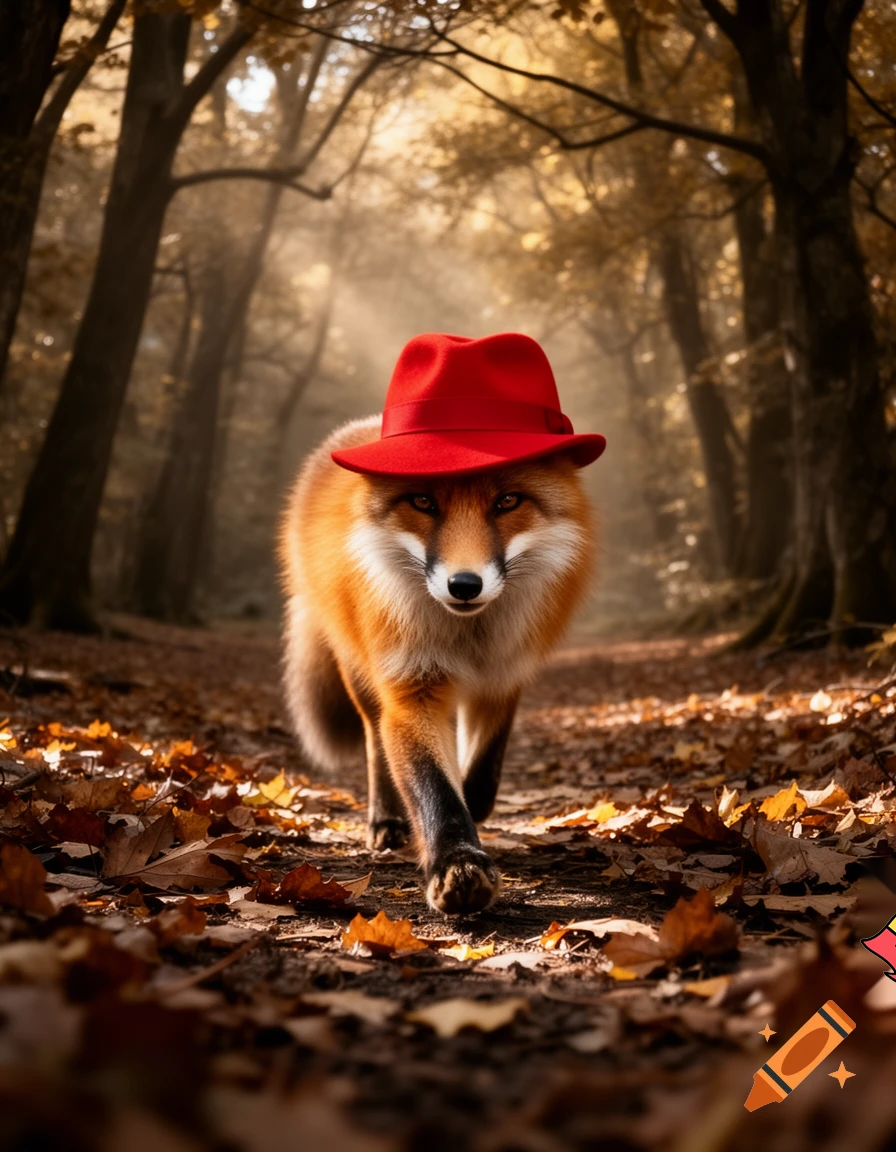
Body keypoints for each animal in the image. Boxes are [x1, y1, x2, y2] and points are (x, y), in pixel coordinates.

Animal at [278, 415, 596, 915]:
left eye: (507, 501)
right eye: (423, 501)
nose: (464, 585)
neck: (468, 642)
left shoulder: (503, 678)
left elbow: (482, 776)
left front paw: (470, 805)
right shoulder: (413, 688)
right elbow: (434, 788)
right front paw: (456, 862)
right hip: (358, 670)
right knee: (374, 739)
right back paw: (387, 821)